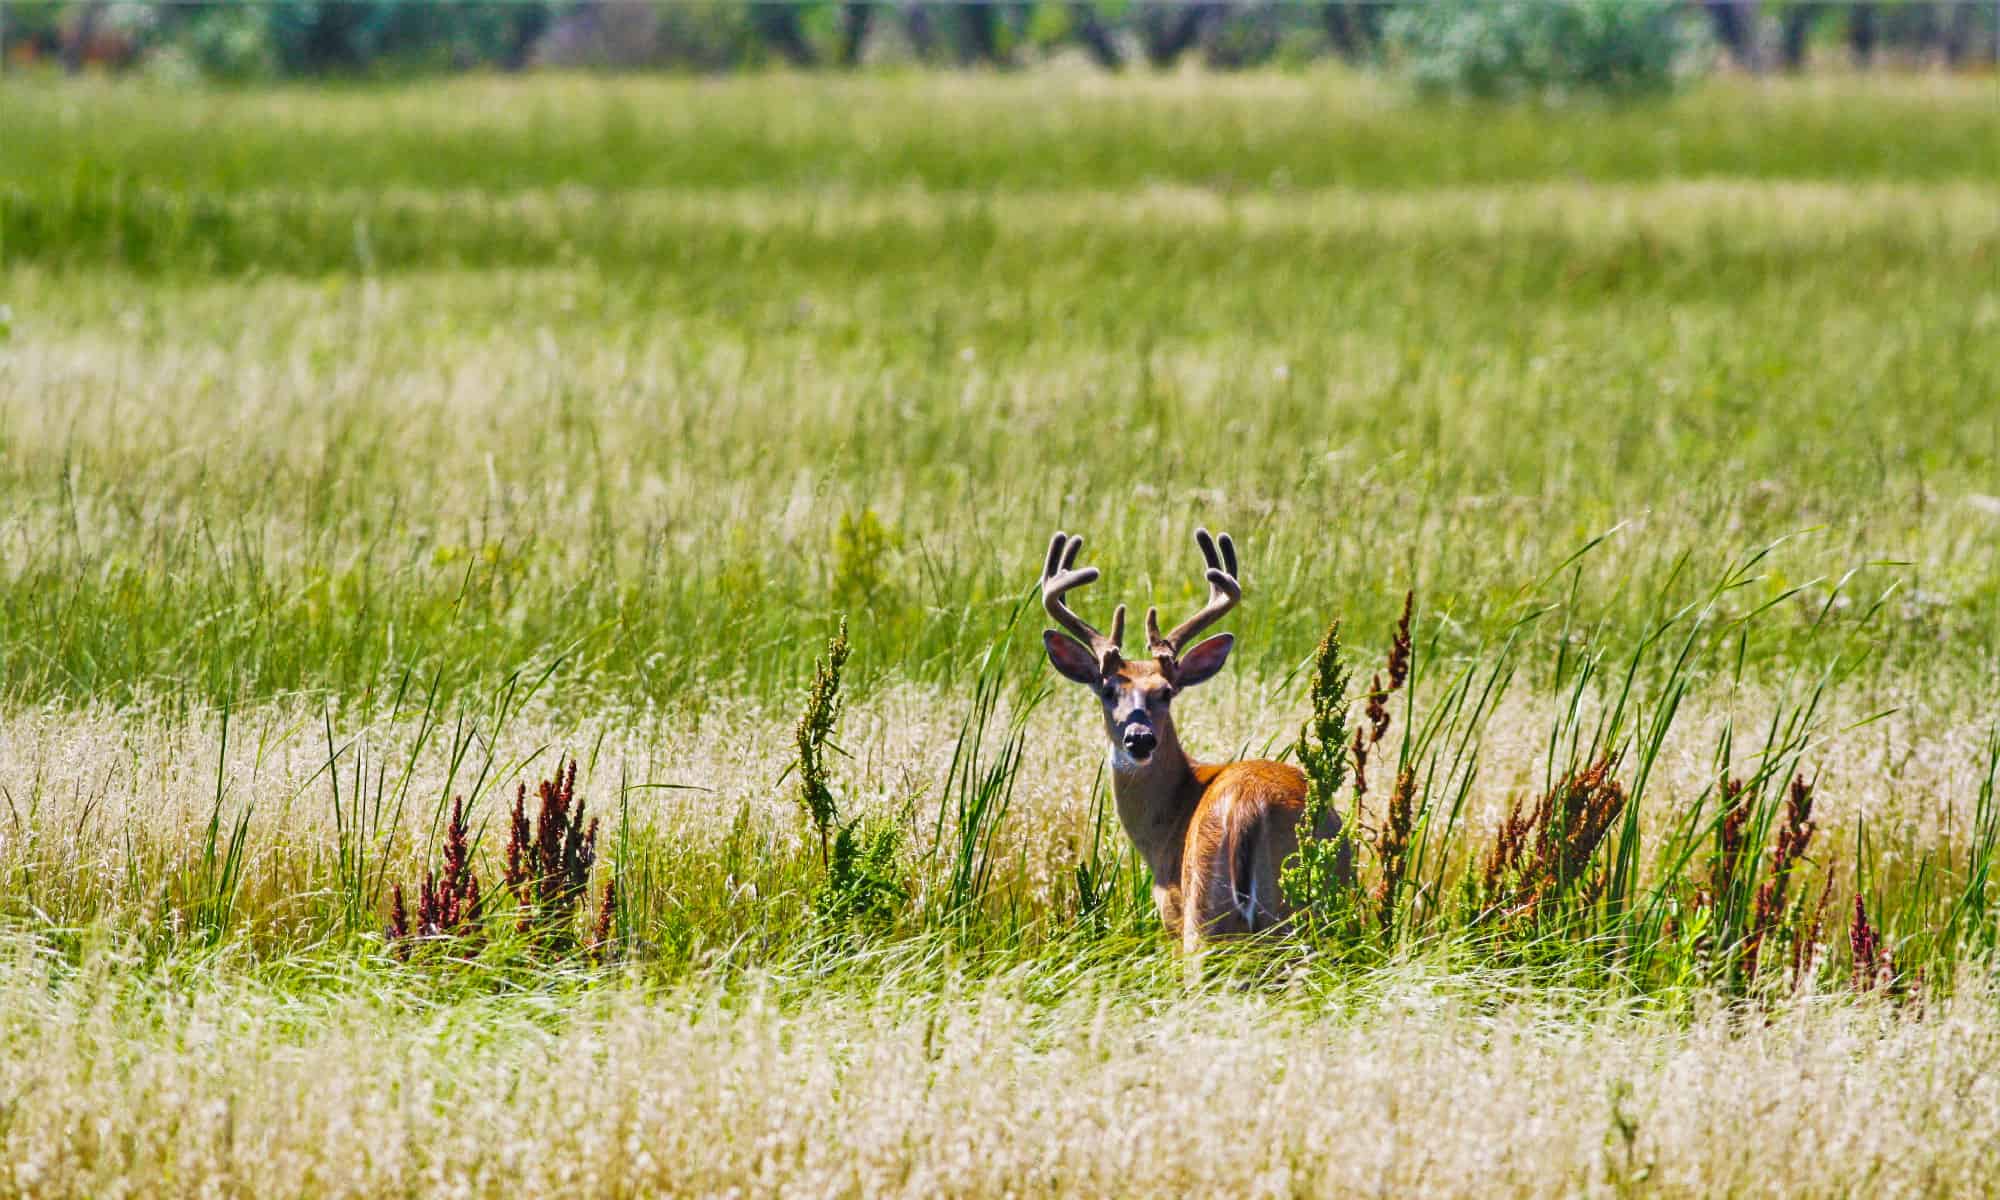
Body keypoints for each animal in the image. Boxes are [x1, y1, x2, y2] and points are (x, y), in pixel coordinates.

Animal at [1032, 528, 1344, 952]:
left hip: (1204, 909)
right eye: (1109, 690)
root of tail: (1248, 806)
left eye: (1165, 692)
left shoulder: (1173, 910)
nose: (1140, 739)